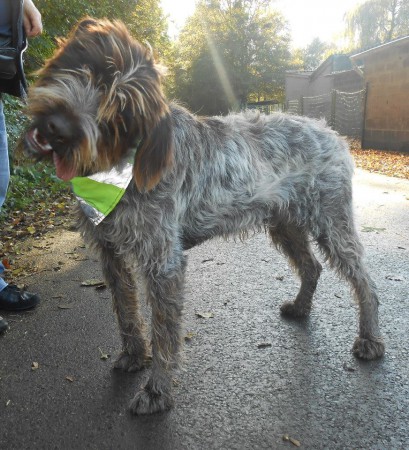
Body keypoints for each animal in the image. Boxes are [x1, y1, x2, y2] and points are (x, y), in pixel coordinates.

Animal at [24, 18, 382, 414]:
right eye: (88, 67)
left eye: (122, 111)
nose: (57, 128)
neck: (124, 162)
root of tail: (332, 132)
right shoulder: (111, 251)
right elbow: (126, 311)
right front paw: (133, 355)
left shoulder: (163, 263)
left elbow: (164, 332)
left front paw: (157, 390)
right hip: (286, 225)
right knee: (312, 266)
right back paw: (302, 307)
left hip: (332, 223)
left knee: (364, 280)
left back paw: (369, 339)